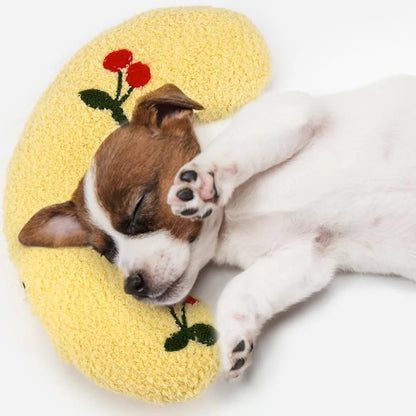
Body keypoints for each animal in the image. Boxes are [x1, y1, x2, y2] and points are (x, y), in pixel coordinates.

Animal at [18, 78, 416, 380]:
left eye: (137, 208)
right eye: (106, 253)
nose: (133, 285)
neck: (230, 221)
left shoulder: (289, 111)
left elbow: (229, 151)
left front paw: (201, 181)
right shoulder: (308, 252)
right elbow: (241, 289)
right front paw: (235, 338)